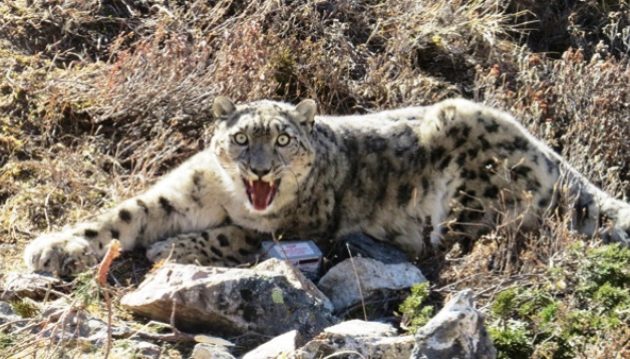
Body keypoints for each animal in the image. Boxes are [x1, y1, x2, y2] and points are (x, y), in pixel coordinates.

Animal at [23, 97, 630, 278]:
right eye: (241, 139)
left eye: (282, 139)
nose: (260, 171)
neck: (227, 198)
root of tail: (550, 153)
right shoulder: (182, 192)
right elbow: (123, 216)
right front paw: (51, 248)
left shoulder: (299, 227)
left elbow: (234, 236)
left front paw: (172, 248)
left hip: (475, 190)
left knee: (466, 239)